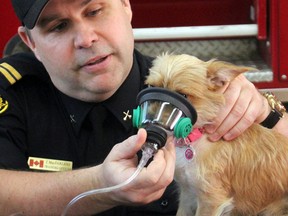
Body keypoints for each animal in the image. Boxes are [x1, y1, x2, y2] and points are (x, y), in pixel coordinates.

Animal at [145, 53, 288, 215]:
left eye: (183, 95)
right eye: (151, 87)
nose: (149, 119)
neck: (194, 139)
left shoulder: (211, 200)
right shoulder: (187, 194)